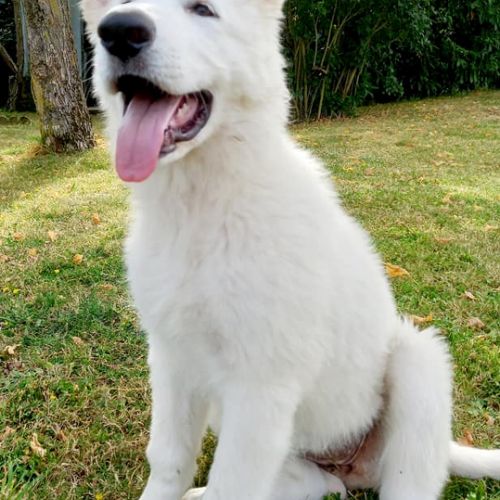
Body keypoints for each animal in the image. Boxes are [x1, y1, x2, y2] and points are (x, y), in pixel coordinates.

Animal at [80, 1, 500, 499]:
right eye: (114, 9)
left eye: (203, 9)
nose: (119, 32)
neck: (202, 206)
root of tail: (350, 466)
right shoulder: (172, 359)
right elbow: (168, 461)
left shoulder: (261, 385)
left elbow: (231, 485)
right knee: (316, 486)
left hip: (418, 360)